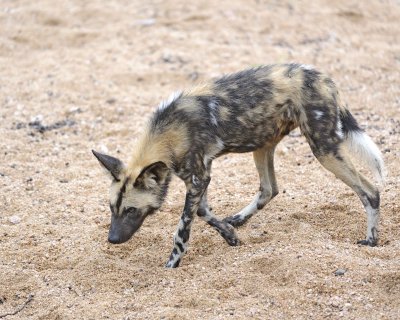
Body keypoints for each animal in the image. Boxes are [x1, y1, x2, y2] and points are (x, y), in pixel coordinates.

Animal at [93, 62, 384, 268]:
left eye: (131, 210)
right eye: (111, 208)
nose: (112, 239)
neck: (170, 132)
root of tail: (323, 77)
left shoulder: (197, 178)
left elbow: (182, 229)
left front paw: (172, 264)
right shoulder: (201, 176)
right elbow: (203, 212)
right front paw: (230, 234)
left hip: (324, 150)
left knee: (370, 191)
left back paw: (371, 240)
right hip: (263, 145)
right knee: (269, 189)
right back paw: (239, 219)